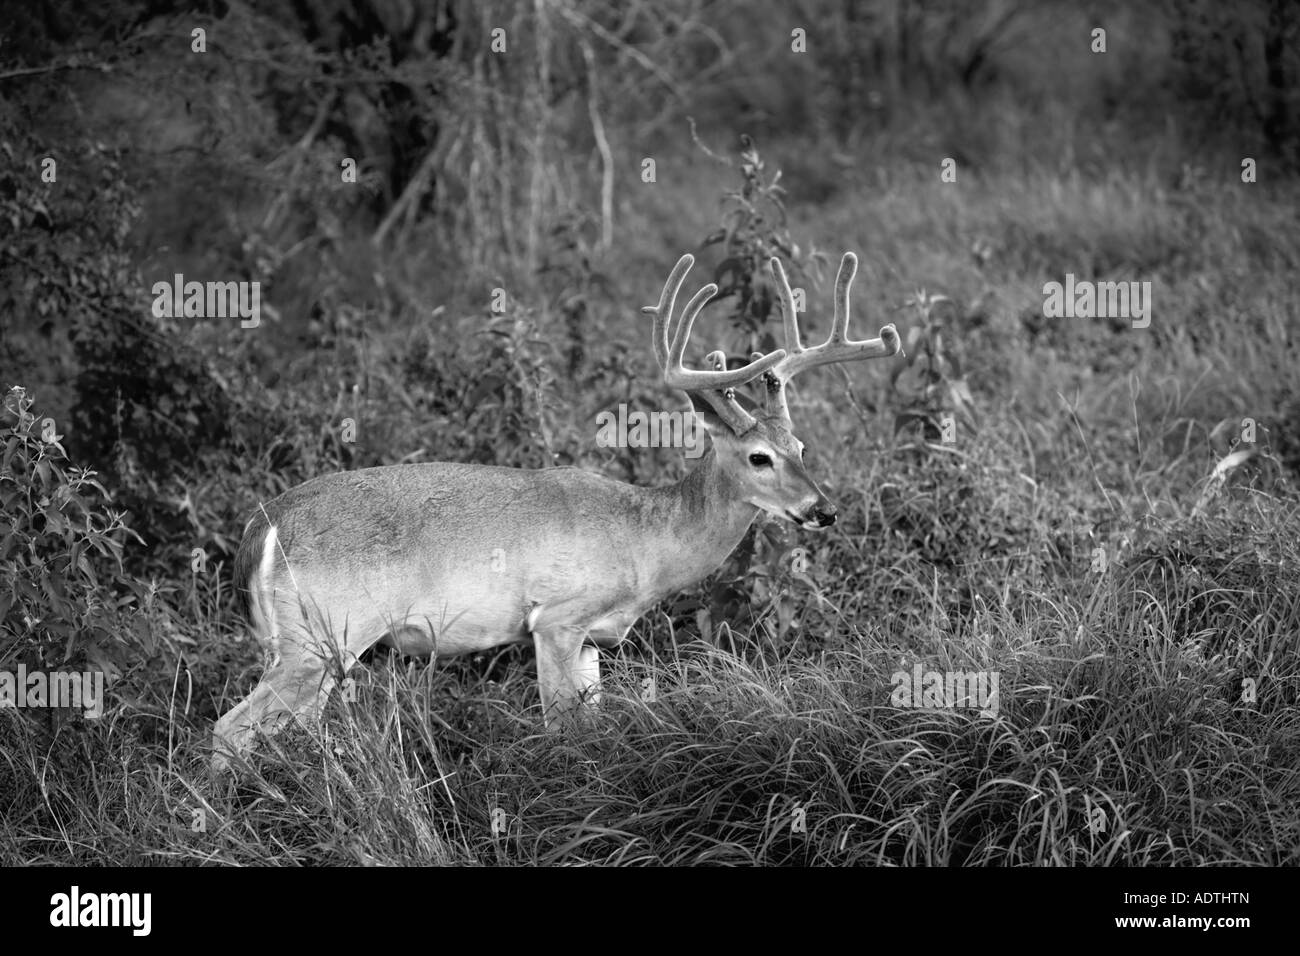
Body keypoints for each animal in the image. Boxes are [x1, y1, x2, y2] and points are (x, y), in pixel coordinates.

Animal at [211, 251, 900, 771]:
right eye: (759, 457)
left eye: (802, 447)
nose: (823, 510)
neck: (645, 541)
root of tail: (261, 528)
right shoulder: (556, 618)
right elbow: (562, 731)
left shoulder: (594, 637)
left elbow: (595, 727)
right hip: (323, 635)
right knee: (228, 731)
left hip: (307, 647)